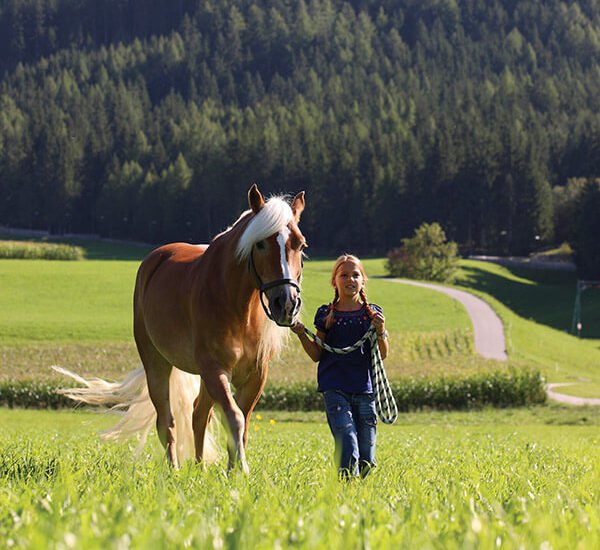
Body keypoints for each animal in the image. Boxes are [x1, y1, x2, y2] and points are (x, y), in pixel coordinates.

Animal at [56, 187, 308, 474]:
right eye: (261, 244)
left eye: (300, 244)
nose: (286, 303)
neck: (237, 307)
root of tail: (155, 260)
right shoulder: (215, 369)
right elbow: (233, 417)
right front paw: (241, 470)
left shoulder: (255, 375)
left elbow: (240, 421)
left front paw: (233, 469)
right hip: (157, 365)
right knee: (167, 420)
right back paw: (174, 469)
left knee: (198, 415)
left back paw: (199, 467)